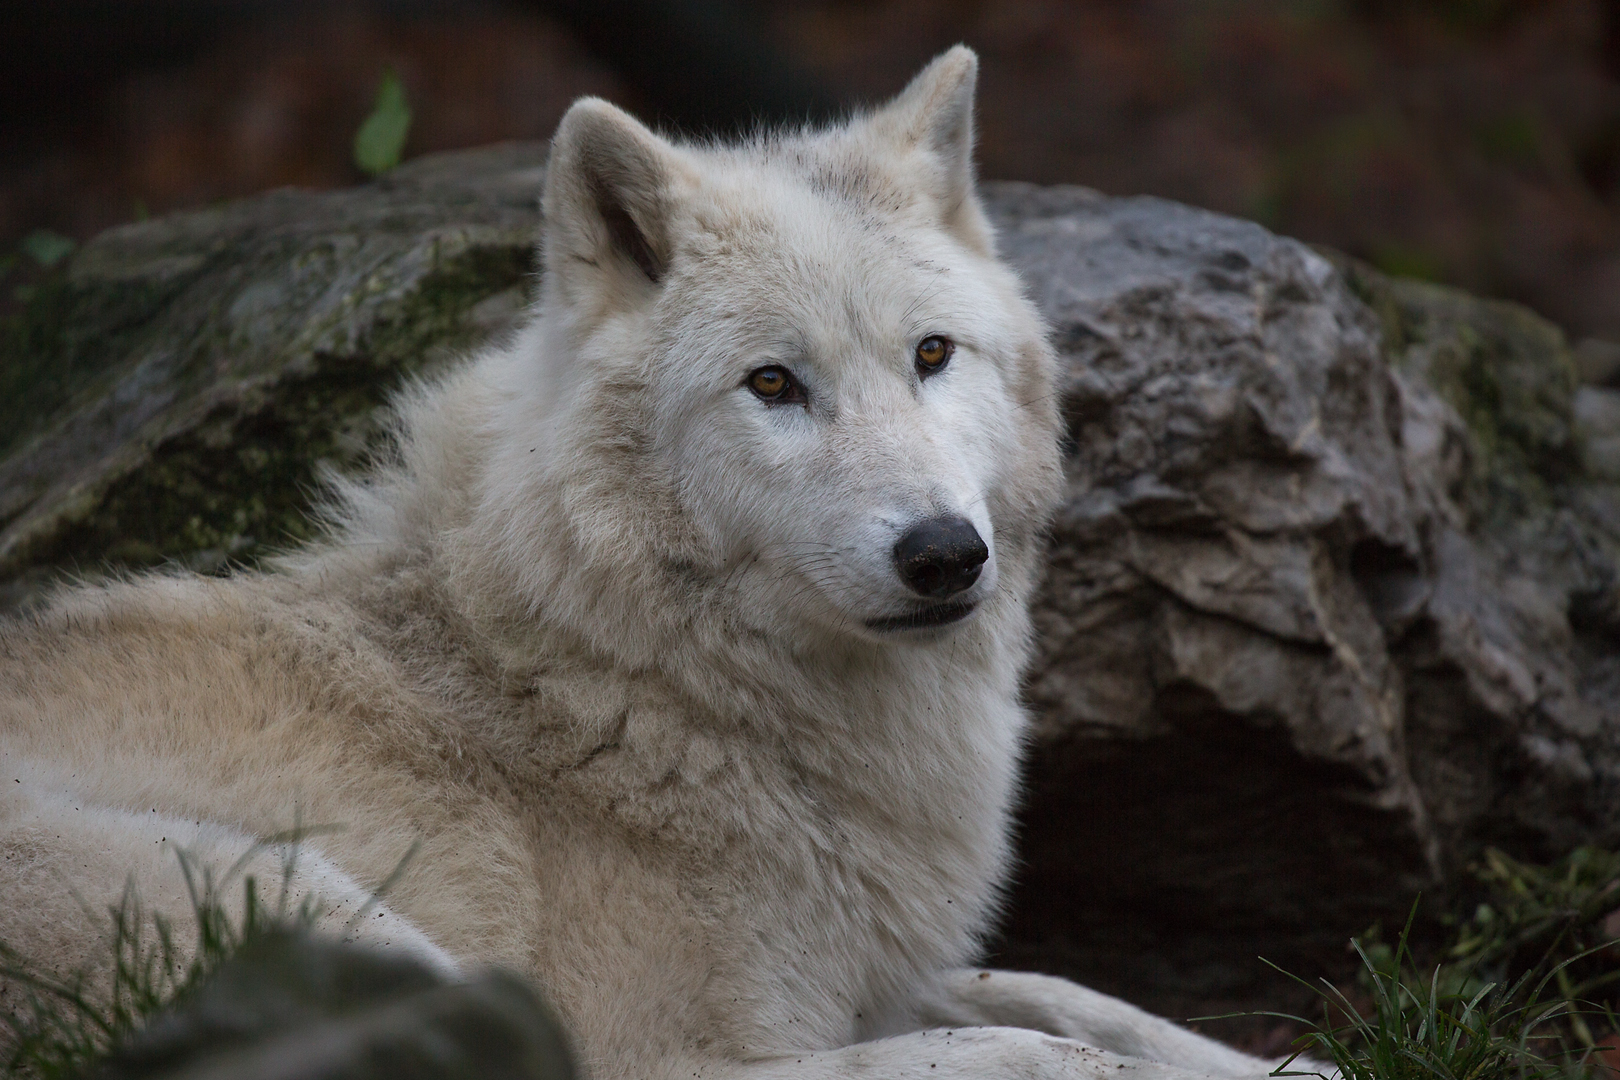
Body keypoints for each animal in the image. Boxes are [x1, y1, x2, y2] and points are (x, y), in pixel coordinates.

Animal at [0, 48, 1296, 1080]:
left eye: (933, 355)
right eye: (774, 382)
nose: (943, 554)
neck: (636, 678)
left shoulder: (869, 976)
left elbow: (1076, 999)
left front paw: (1285, 1063)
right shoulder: (684, 1056)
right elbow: (1029, 1045)